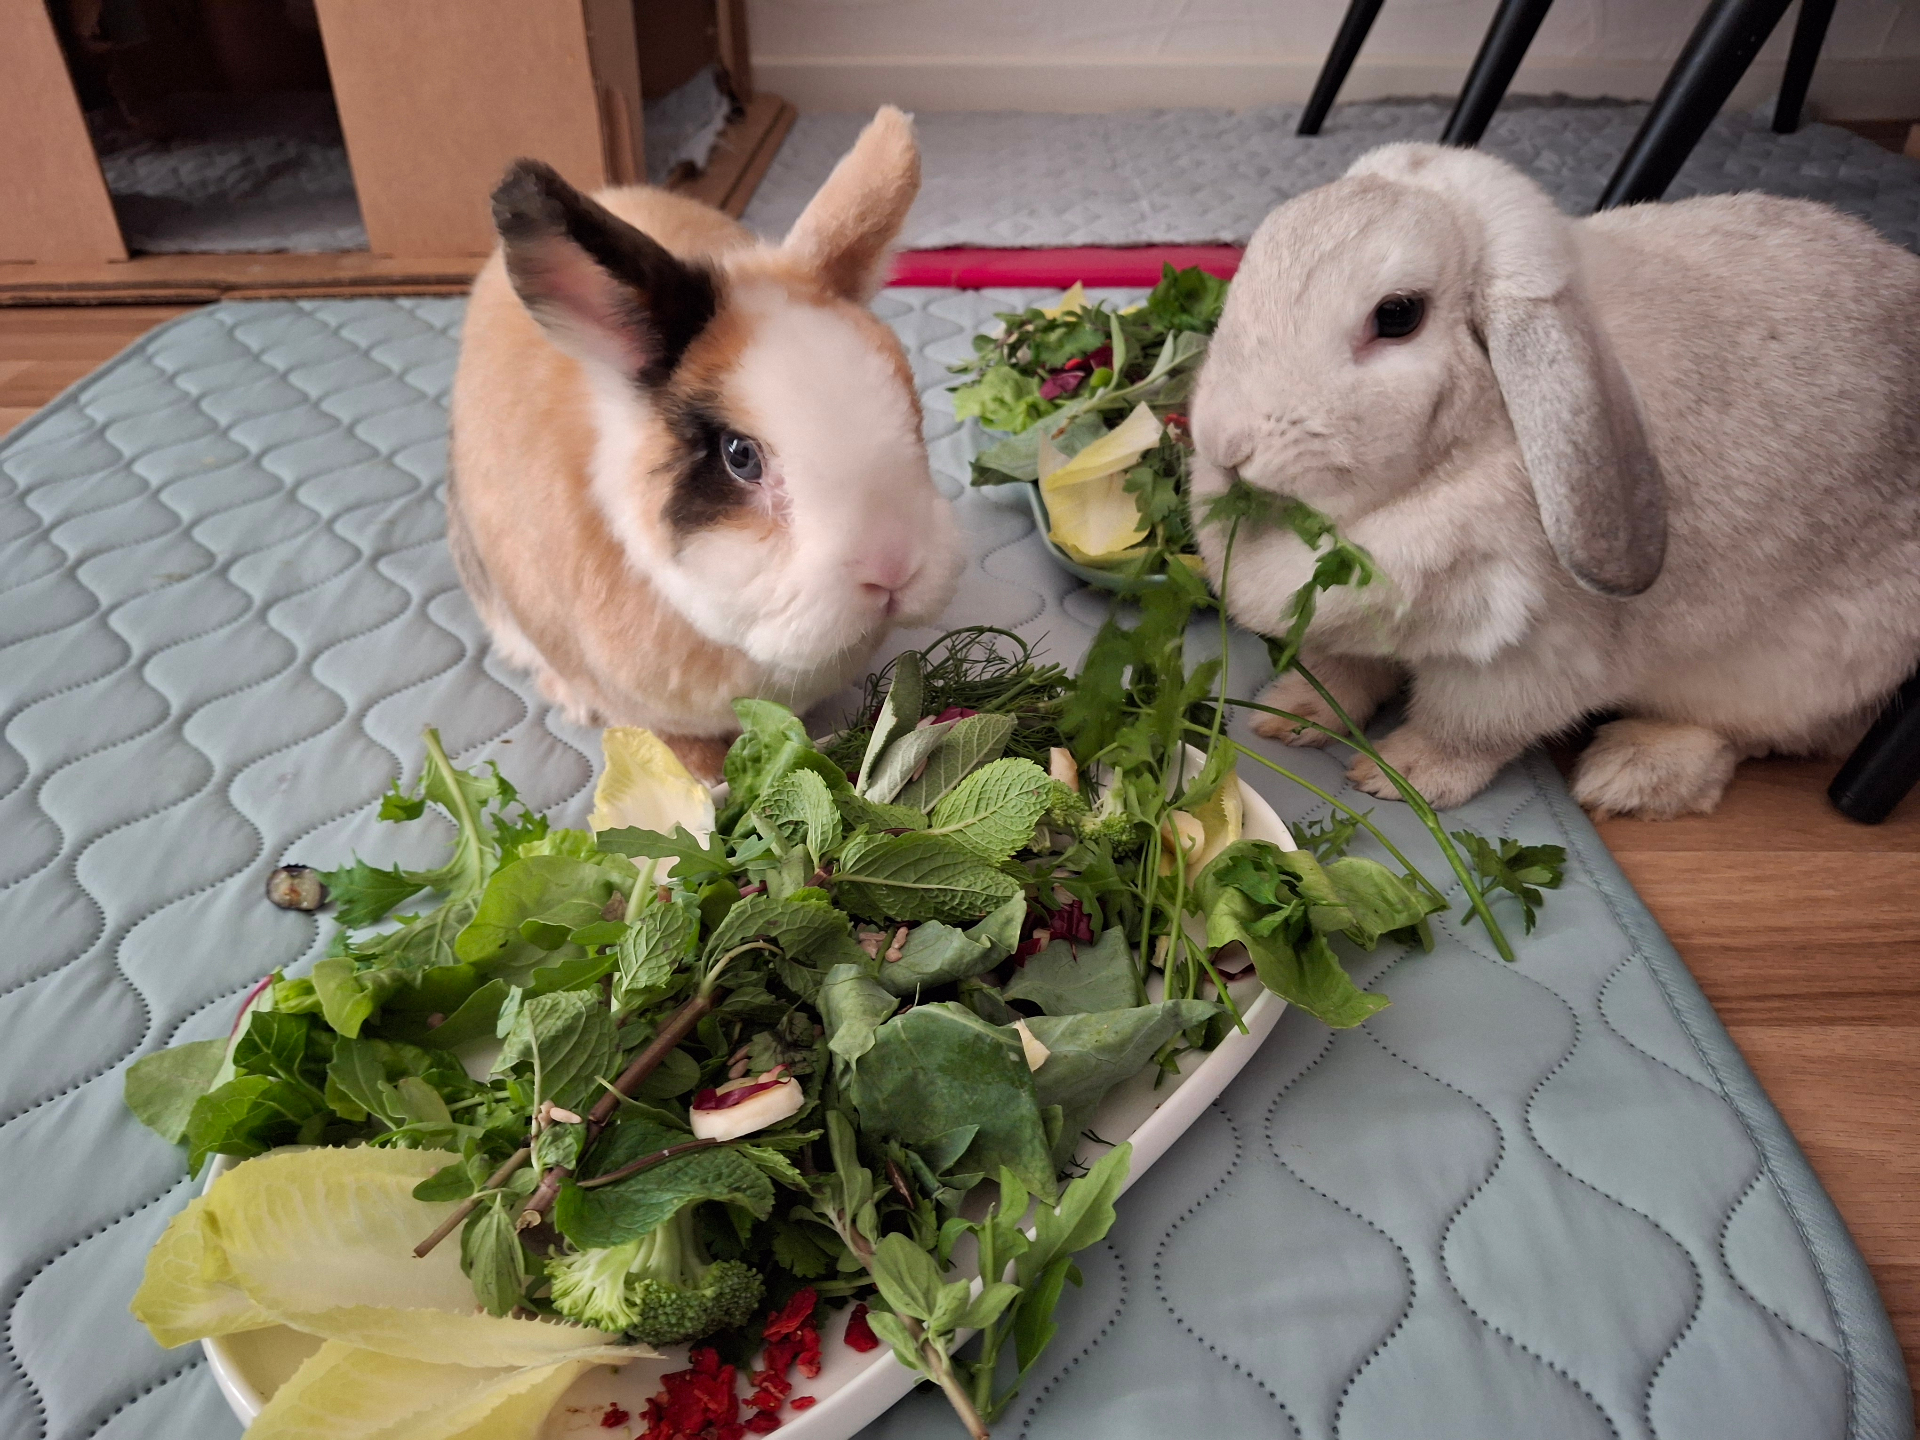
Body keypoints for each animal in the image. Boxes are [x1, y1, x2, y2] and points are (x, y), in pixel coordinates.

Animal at [1188, 141, 1920, 819]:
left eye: (1397, 315)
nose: (1225, 443)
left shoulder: (1526, 661)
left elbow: (1465, 729)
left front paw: (1399, 776)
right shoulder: (1348, 633)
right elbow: (1340, 675)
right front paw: (1287, 716)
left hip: (1797, 675)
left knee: (1748, 735)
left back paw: (1632, 773)